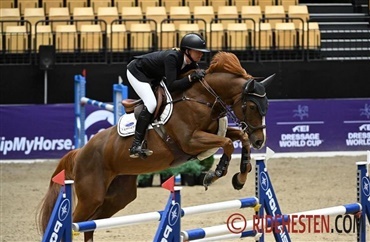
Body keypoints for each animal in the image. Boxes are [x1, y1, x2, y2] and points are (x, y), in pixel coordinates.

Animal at [38, 51, 274, 242]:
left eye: (267, 105)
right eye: (252, 105)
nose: (260, 141)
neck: (202, 97)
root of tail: (80, 152)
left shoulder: (216, 133)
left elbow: (239, 137)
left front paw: (241, 176)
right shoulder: (191, 141)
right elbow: (228, 143)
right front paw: (214, 174)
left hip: (118, 196)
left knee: (91, 224)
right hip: (91, 195)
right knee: (75, 222)